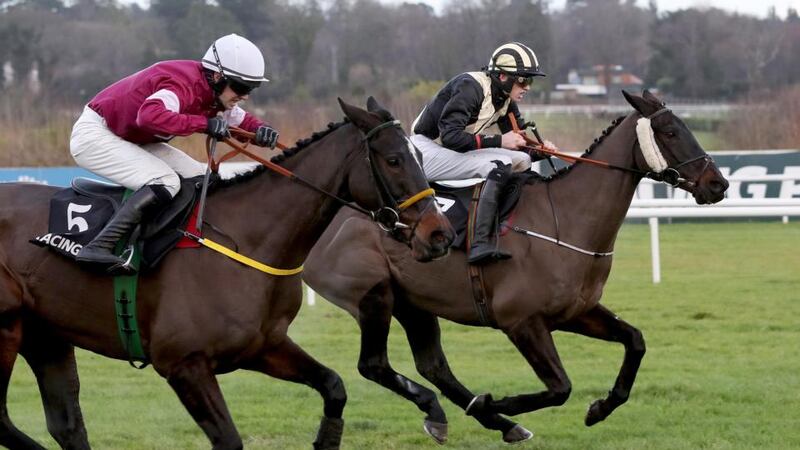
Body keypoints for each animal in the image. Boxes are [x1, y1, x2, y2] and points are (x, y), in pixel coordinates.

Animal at [0, 97, 454, 450]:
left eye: (419, 156)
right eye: (394, 160)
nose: (441, 235)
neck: (247, 239)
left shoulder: (264, 346)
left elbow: (333, 386)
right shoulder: (184, 365)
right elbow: (230, 439)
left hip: (46, 336)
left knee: (66, 426)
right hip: (7, 330)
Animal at [303, 90, 730, 444]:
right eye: (670, 131)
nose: (718, 184)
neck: (565, 219)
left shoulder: (576, 312)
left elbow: (635, 341)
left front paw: (599, 408)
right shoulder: (520, 321)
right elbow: (560, 387)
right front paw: (493, 403)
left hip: (414, 303)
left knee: (432, 366)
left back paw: (485, 420)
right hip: (374, 296)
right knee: (374, 365)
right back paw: (478, 413)